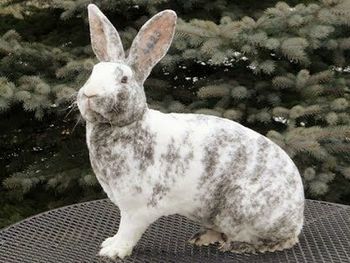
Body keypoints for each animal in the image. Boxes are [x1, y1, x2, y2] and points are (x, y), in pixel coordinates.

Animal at [77, 3, 304, 260]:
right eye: (93, 72)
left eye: (124, 79)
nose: (90, 94)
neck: (127, 124)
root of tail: (299, 212)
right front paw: (110, 243)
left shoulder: (137, 208)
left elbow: (128, 230)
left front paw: (113, 250)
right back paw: (204, 237)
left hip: (245, 210)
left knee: (283, 239)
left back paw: (244, 245)